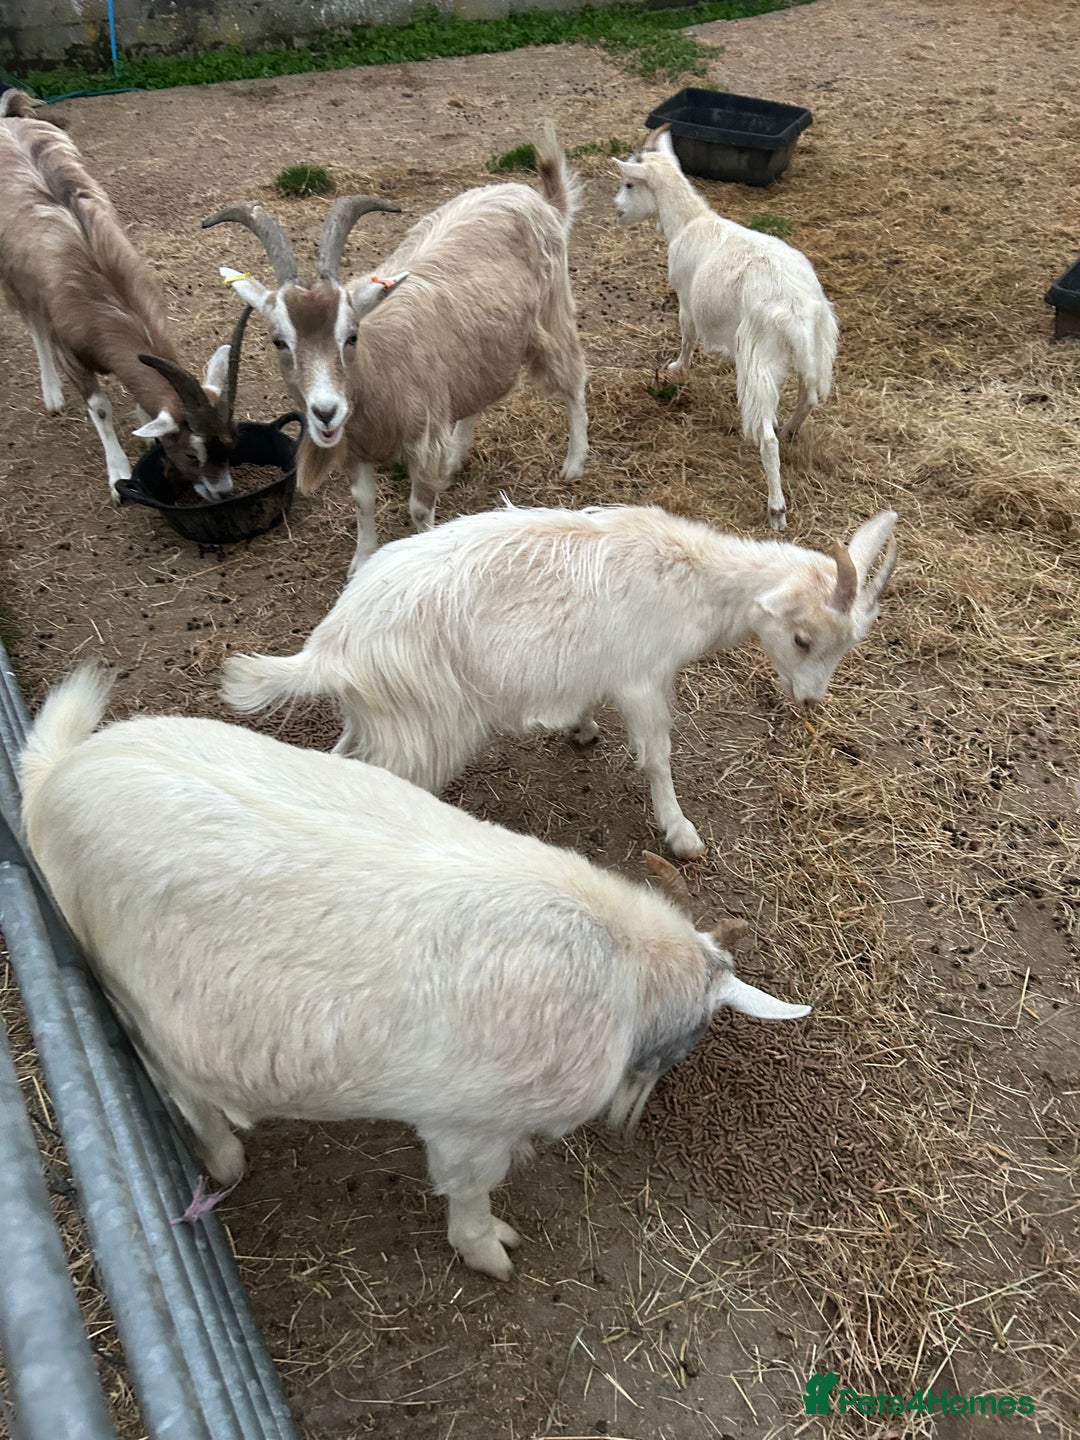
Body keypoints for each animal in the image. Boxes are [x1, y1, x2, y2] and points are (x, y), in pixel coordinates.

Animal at [0, 94, 244, 500]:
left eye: (231, 441)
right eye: (191, 454)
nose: (222, 493)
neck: (108, 296)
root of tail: (9, 118)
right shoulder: (71, 352)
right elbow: (99, 407)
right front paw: (118, 475)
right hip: (14, 275)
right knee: (34, 321)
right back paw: (52, 394)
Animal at [21, 666, 810, 1279]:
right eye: (693, 1039)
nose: (630, 1118)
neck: (622, 967)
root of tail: (60, 776)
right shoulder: (471, 1125)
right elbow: (469, 1194)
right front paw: (490, 1251)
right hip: (124, 984)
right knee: (175, 1080)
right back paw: (224, 1158)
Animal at [204, 120, 589, 573]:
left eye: (352, 335)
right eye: (279, 340)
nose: (326, 412)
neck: (378, 370)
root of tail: (539, 201)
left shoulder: (422, 441)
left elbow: (419, 511)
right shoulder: (356, 448)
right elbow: (363, 502)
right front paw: (361, 562)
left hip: (554, 316)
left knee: (573, 379)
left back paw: (574, 463)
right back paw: (455, 461)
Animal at [221, 502, 898, 859]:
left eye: (846, 647)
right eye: (803, 639)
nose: (809, 700)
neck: (691, 580)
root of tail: (331, 647)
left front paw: (581, 728)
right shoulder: (642, 678)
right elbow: (657, 757)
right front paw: (680, 833)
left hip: (382, 718)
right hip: (420, 728)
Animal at [613, 126, 839, 531]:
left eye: (628, 183)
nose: (616, 210)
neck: (689, 221)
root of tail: (796, 312)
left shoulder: (685, 296)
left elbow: (687, 333)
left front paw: (678, 367)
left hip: (760, 357)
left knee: (767, 437)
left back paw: (776, 507)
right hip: (818, 346)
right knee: (809, 398)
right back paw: (790, 431)